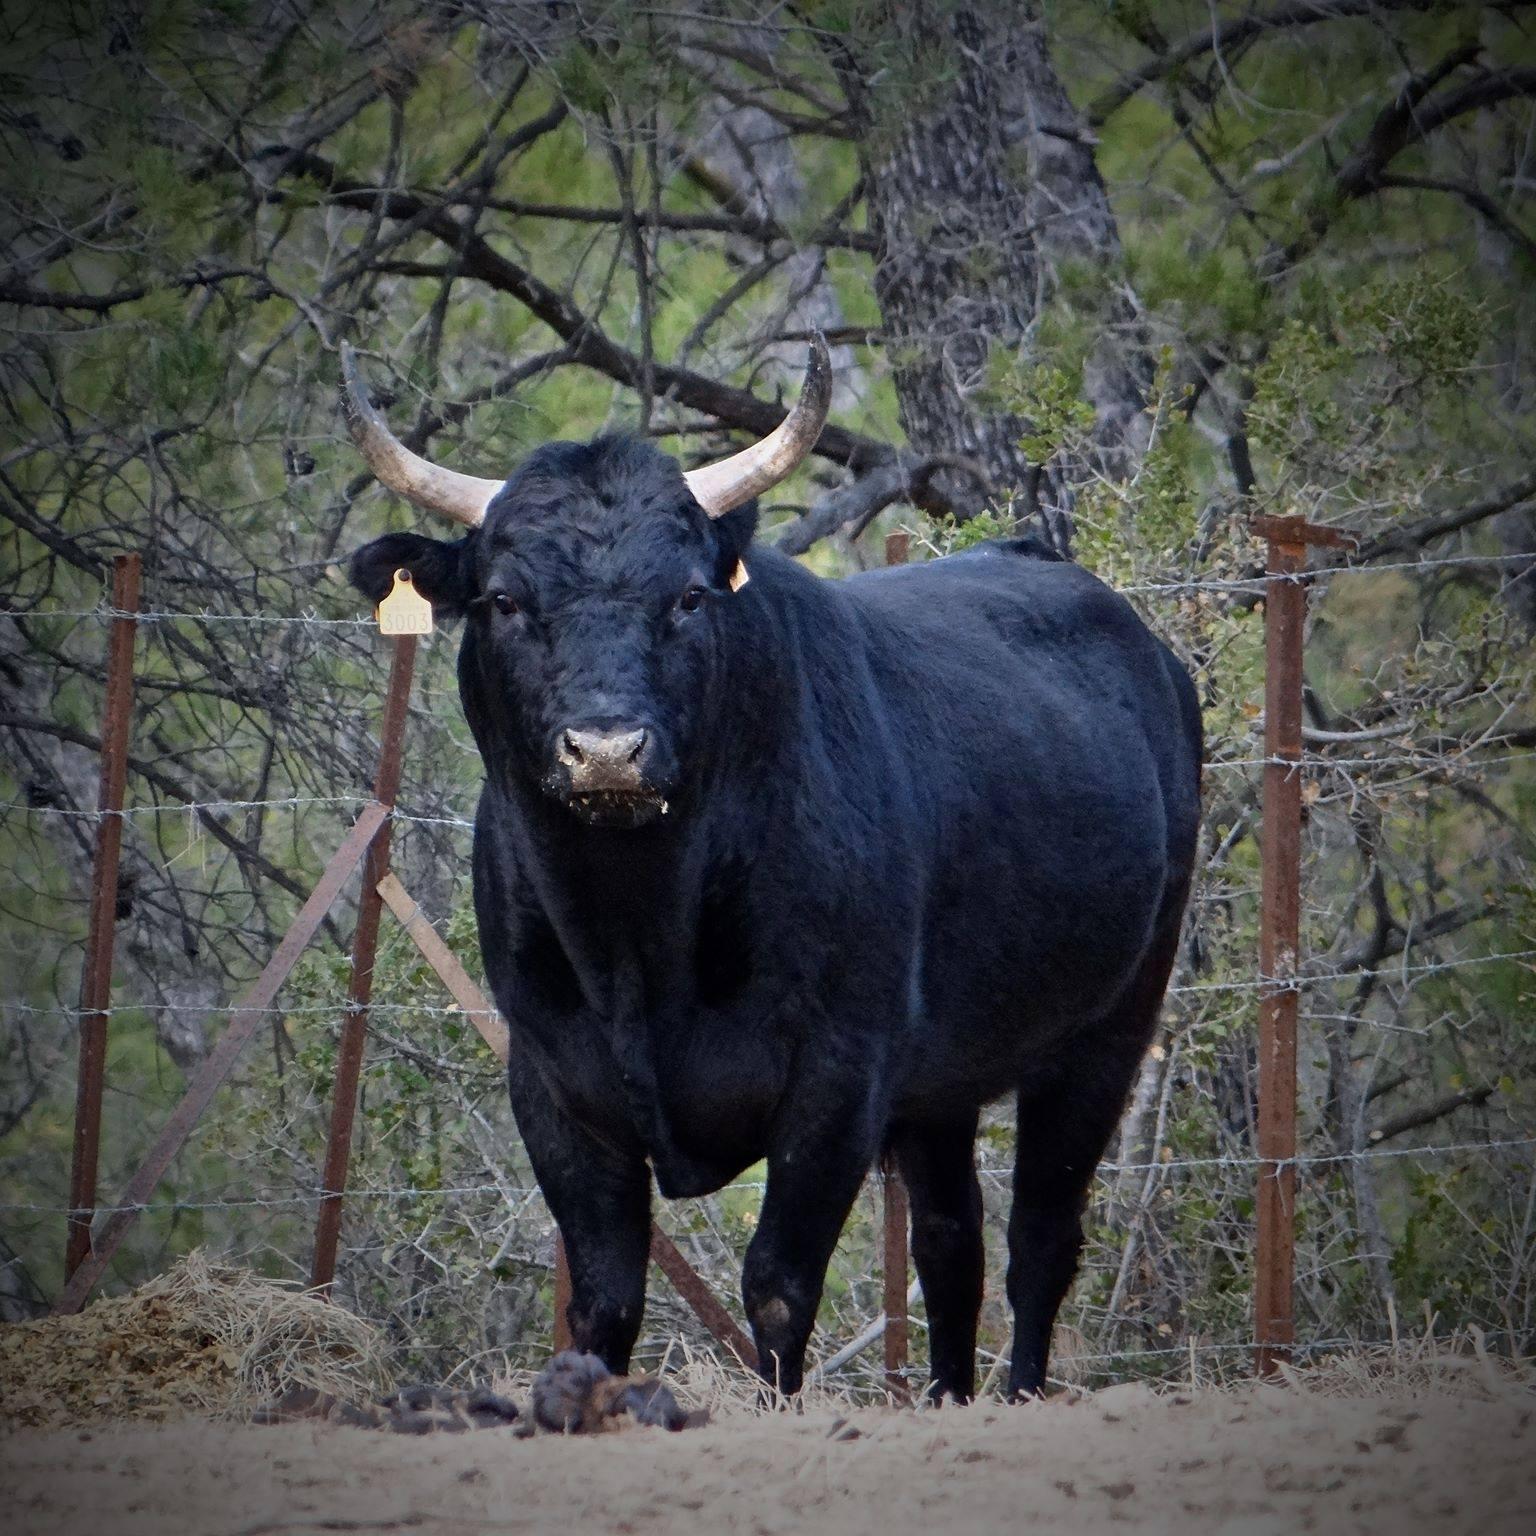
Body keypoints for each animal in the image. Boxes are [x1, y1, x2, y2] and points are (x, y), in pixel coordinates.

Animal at [353, 436, 1204, 1406]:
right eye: (503, 599)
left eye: (689, 595)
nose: (606, 751)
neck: (637, 940)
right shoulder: (550, 1083)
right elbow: (605, 1297)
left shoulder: (837, 1080)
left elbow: (777, 1286)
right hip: (941, 1085)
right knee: (952, 1243)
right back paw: (948, 1400)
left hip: (1108, 1032)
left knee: (1040, 1241)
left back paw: (1021, 1393)